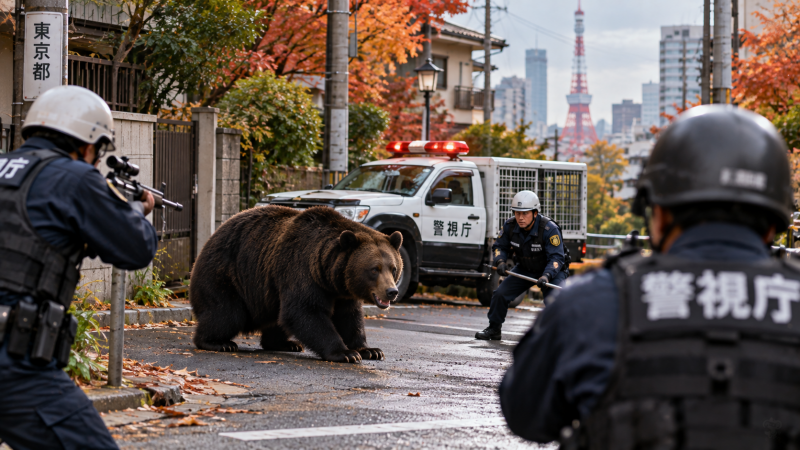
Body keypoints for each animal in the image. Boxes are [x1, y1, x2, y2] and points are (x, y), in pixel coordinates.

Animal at [189, 205, 403, 363]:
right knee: (227, 313)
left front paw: (370, 350)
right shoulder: (301, 270)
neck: (328, 273)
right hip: (224, 275)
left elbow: (349, 317)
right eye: (374, 269)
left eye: (393, 268)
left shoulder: (342, 291)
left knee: (274, 318)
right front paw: (345, 353)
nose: (391, 291)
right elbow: (304, 311)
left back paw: (287, 344)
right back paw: (218, 342)